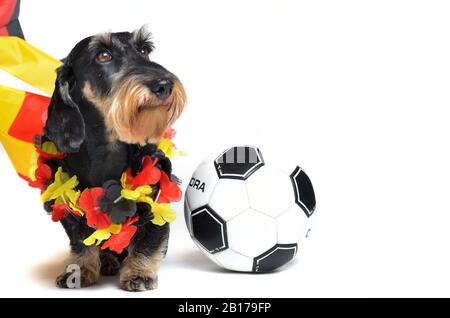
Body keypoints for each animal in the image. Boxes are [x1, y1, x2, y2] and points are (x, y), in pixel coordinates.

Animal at [42, 26, 186, 290]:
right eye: (103, 55)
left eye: (144, 50)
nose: (164, 85)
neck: (107, 150)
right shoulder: (73, 208)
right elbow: (81, 241)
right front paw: (79, 270)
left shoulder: (154, 206)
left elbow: (148, 243)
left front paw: (139, 273)